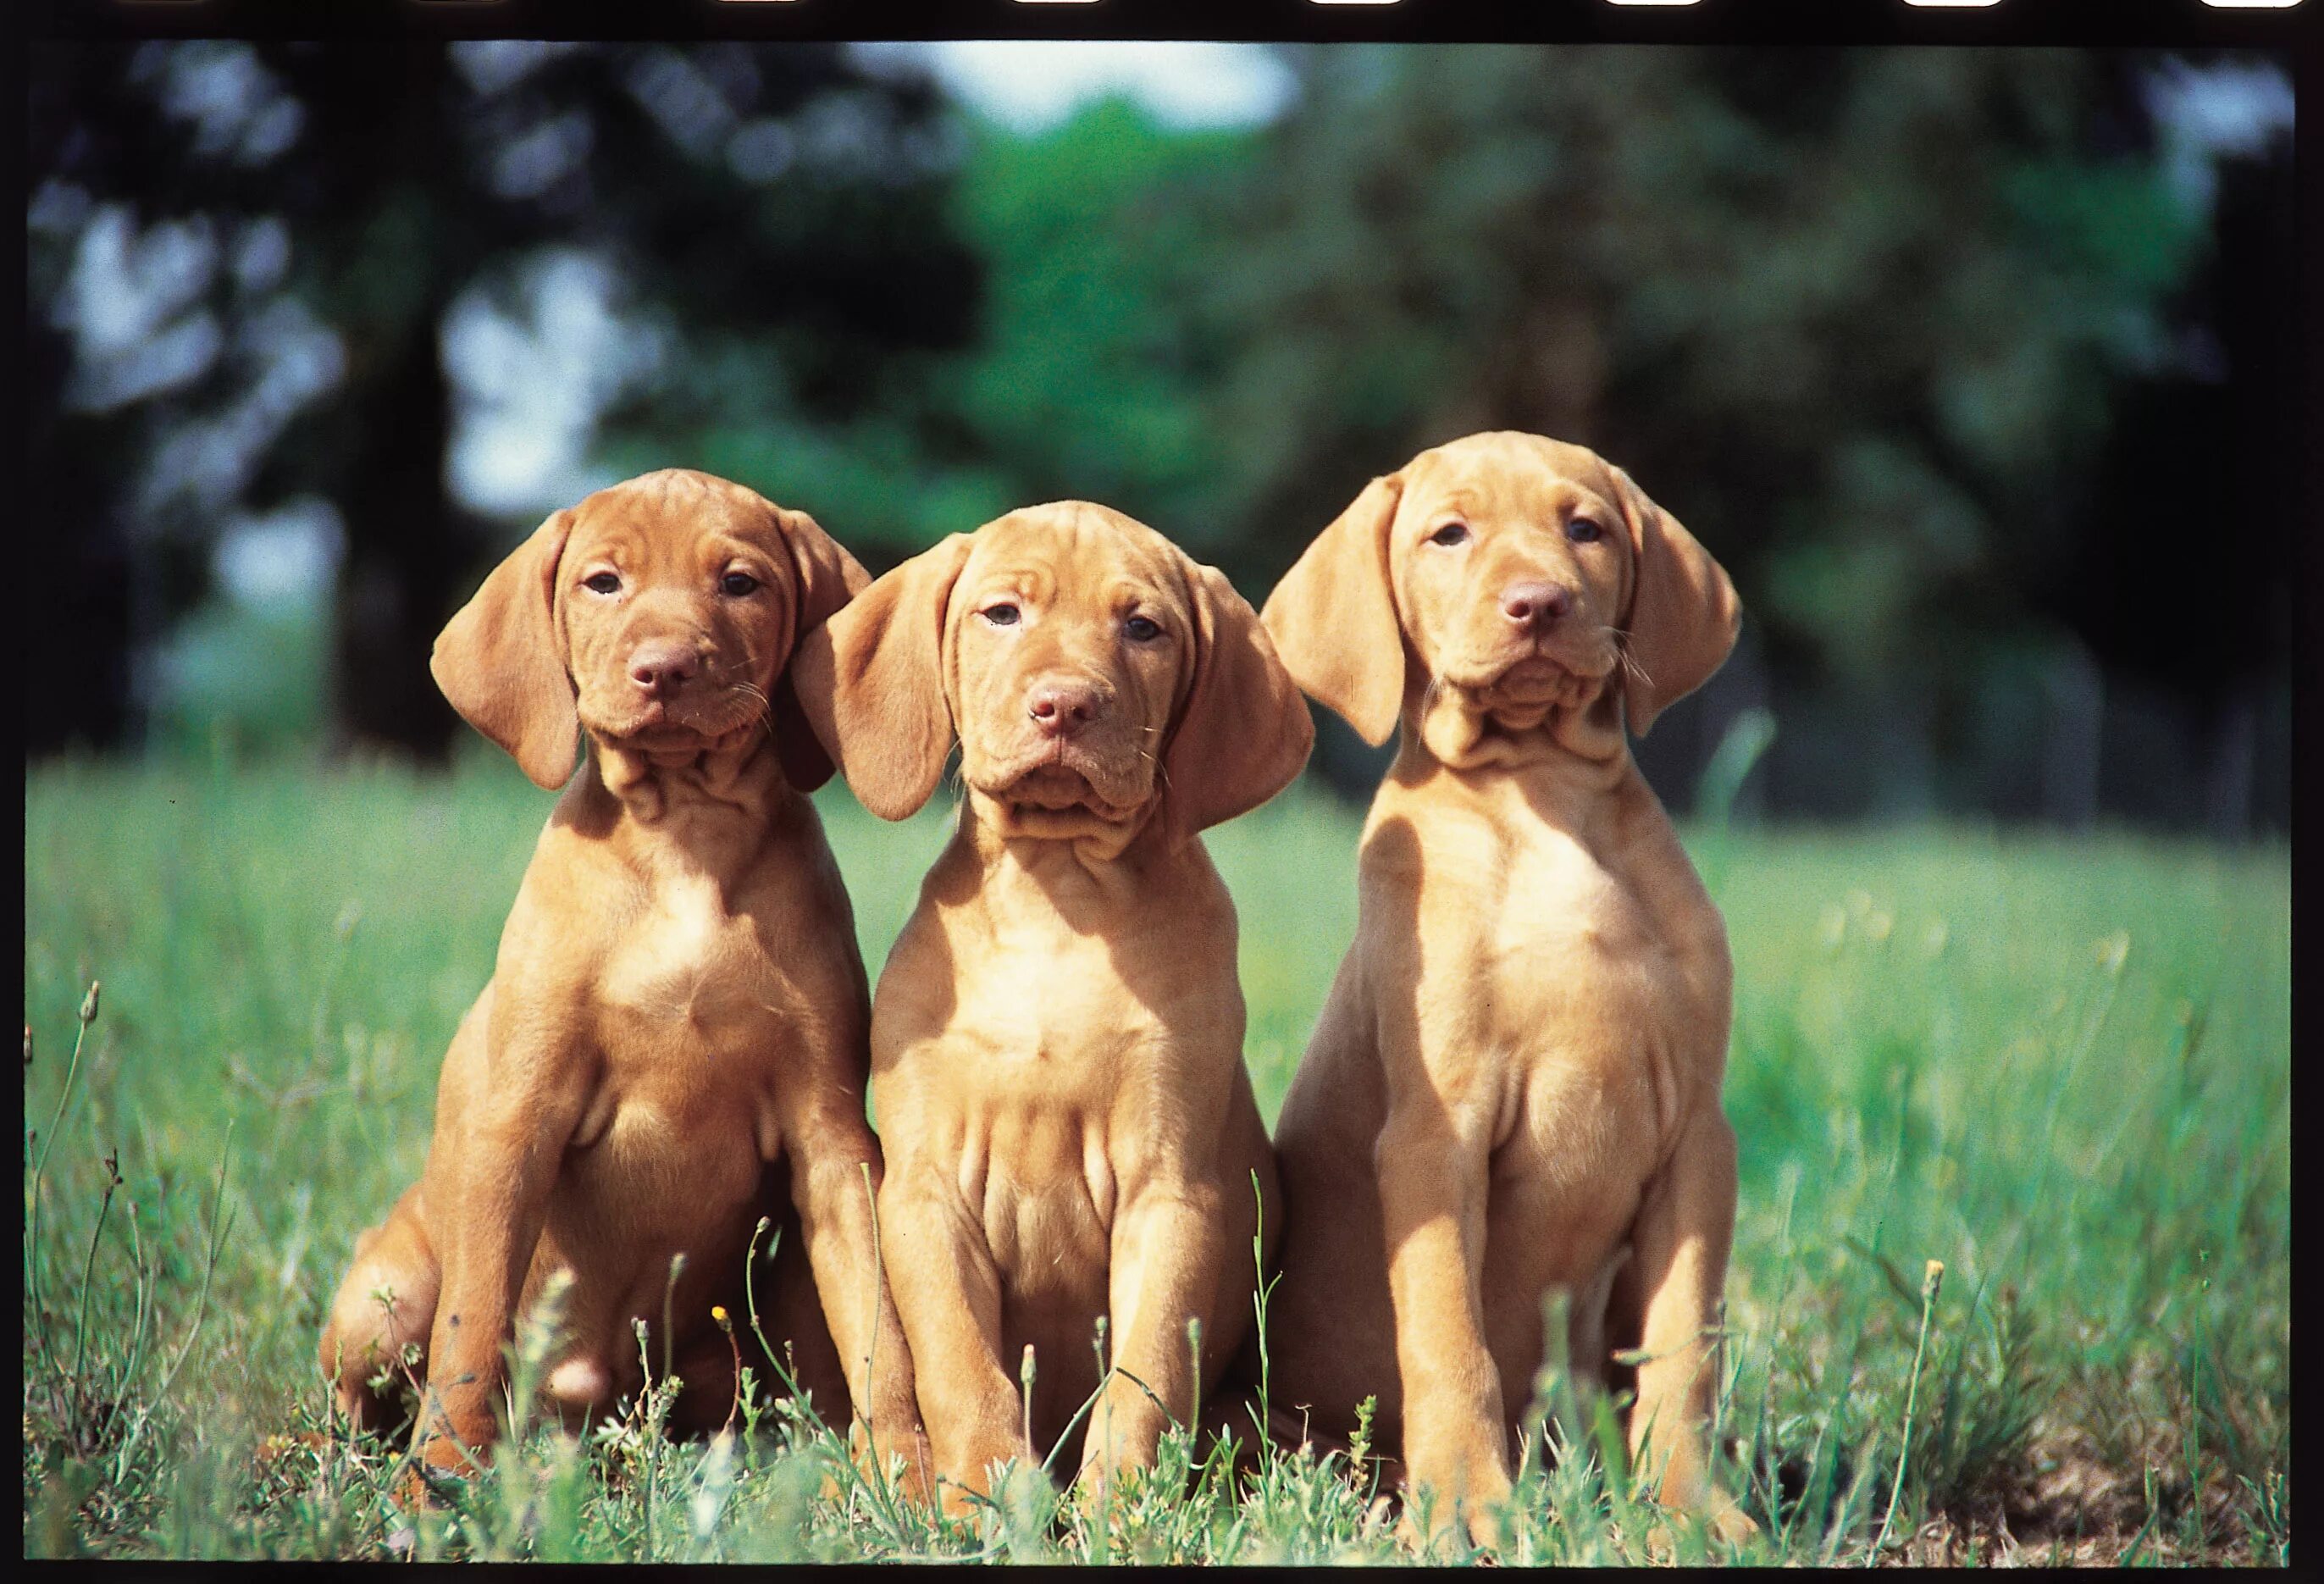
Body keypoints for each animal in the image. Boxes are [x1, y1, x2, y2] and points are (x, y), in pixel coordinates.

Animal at [320, 467, 934, 1498]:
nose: (664, 668)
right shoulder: (517, 1121)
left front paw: (908, 1479)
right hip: (383, 1297)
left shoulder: (830, 1140)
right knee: (354, 1397)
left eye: (740, 583)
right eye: (602, 583)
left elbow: (883, 1327)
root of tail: (588, 1410)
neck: (682, 832)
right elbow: (470, 1330)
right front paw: (440, 1480)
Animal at [794, 500, 1310, 1516]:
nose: (1065, 705)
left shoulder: (1171, 1191)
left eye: (1142, 628)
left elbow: (1145, 1375)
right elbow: (962, 1366)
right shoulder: (925, 1194)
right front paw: (989, 1499)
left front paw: (1120, 1514)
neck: (1058, 896)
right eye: (1002, 613)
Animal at [1264, 432, 1747, 1544]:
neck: (1541, 796)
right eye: (1449, 533)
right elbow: (1449, 1338)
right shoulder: (1433, 1135)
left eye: (1586, 528)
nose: (1538, 603)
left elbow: (1679, 1354)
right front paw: (1463, 1506)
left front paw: (1690, 1508)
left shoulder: (1698, 1140)